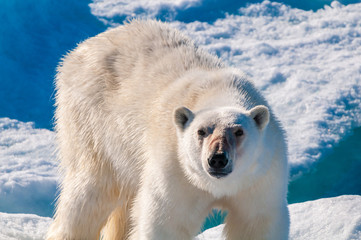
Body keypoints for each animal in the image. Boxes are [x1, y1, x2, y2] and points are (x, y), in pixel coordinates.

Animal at [47, 19, 288, 239]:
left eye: (238, 131)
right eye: (201, 131)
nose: (218, 159)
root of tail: (78, 50)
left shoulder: (260, 178)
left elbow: (256, 223)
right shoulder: (176, 169)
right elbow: (166, 221)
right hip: (93, 125)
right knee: (89, 194)